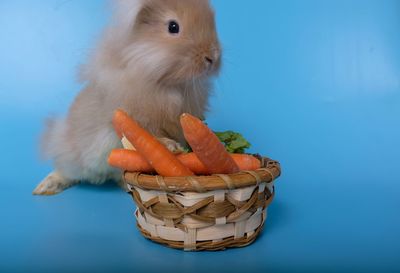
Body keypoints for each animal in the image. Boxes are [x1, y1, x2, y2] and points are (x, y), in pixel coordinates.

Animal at [33, 0, 222, 196]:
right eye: (173, 27)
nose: (213, 57)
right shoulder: (135, 119)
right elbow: (149, 136)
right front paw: (172, 147)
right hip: (71, 154)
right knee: (67, 171)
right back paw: (45, 187)